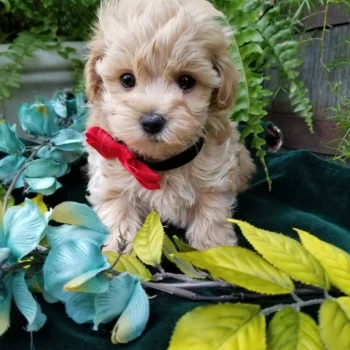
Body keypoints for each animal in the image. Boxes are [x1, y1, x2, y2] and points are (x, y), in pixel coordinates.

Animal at [83, 0, 256, 252]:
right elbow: (118, 218)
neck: (161, 163)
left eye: (186, 81)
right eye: (127, 79)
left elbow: (210, 221)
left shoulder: (214, 183)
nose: (152, 121)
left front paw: (217, 252)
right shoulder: (113, 185)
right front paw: (117, 251)